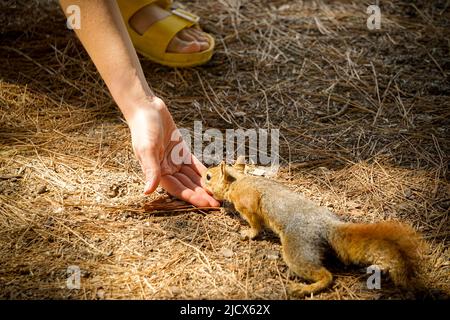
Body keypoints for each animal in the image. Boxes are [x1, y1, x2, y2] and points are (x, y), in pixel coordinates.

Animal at [202, 160, 428, 298]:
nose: (202, 176)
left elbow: (255, 224)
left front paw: (248, 233)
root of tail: (328, 227)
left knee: (325, 275)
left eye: (208, 176)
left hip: (298, 250)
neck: (238, 181)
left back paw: (302, 288)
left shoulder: (248, 205)